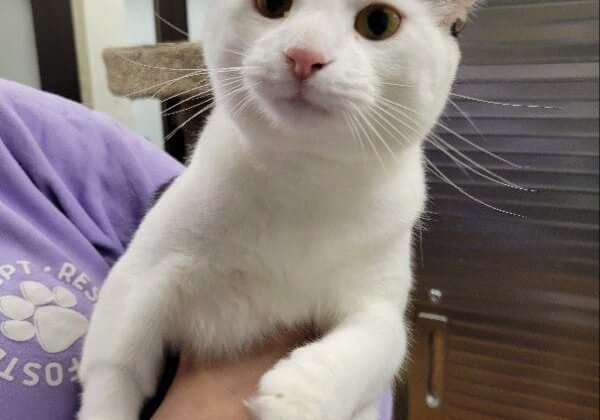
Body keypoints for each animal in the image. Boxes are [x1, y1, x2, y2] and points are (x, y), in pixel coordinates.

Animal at [77, 1, 476, 418]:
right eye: (271, 6)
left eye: (379, 21)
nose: (304, 54)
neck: (301, 182)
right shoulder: (141, 273)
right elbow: (114, 368)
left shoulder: (379, 297)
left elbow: (379, 342)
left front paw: (299, 394)